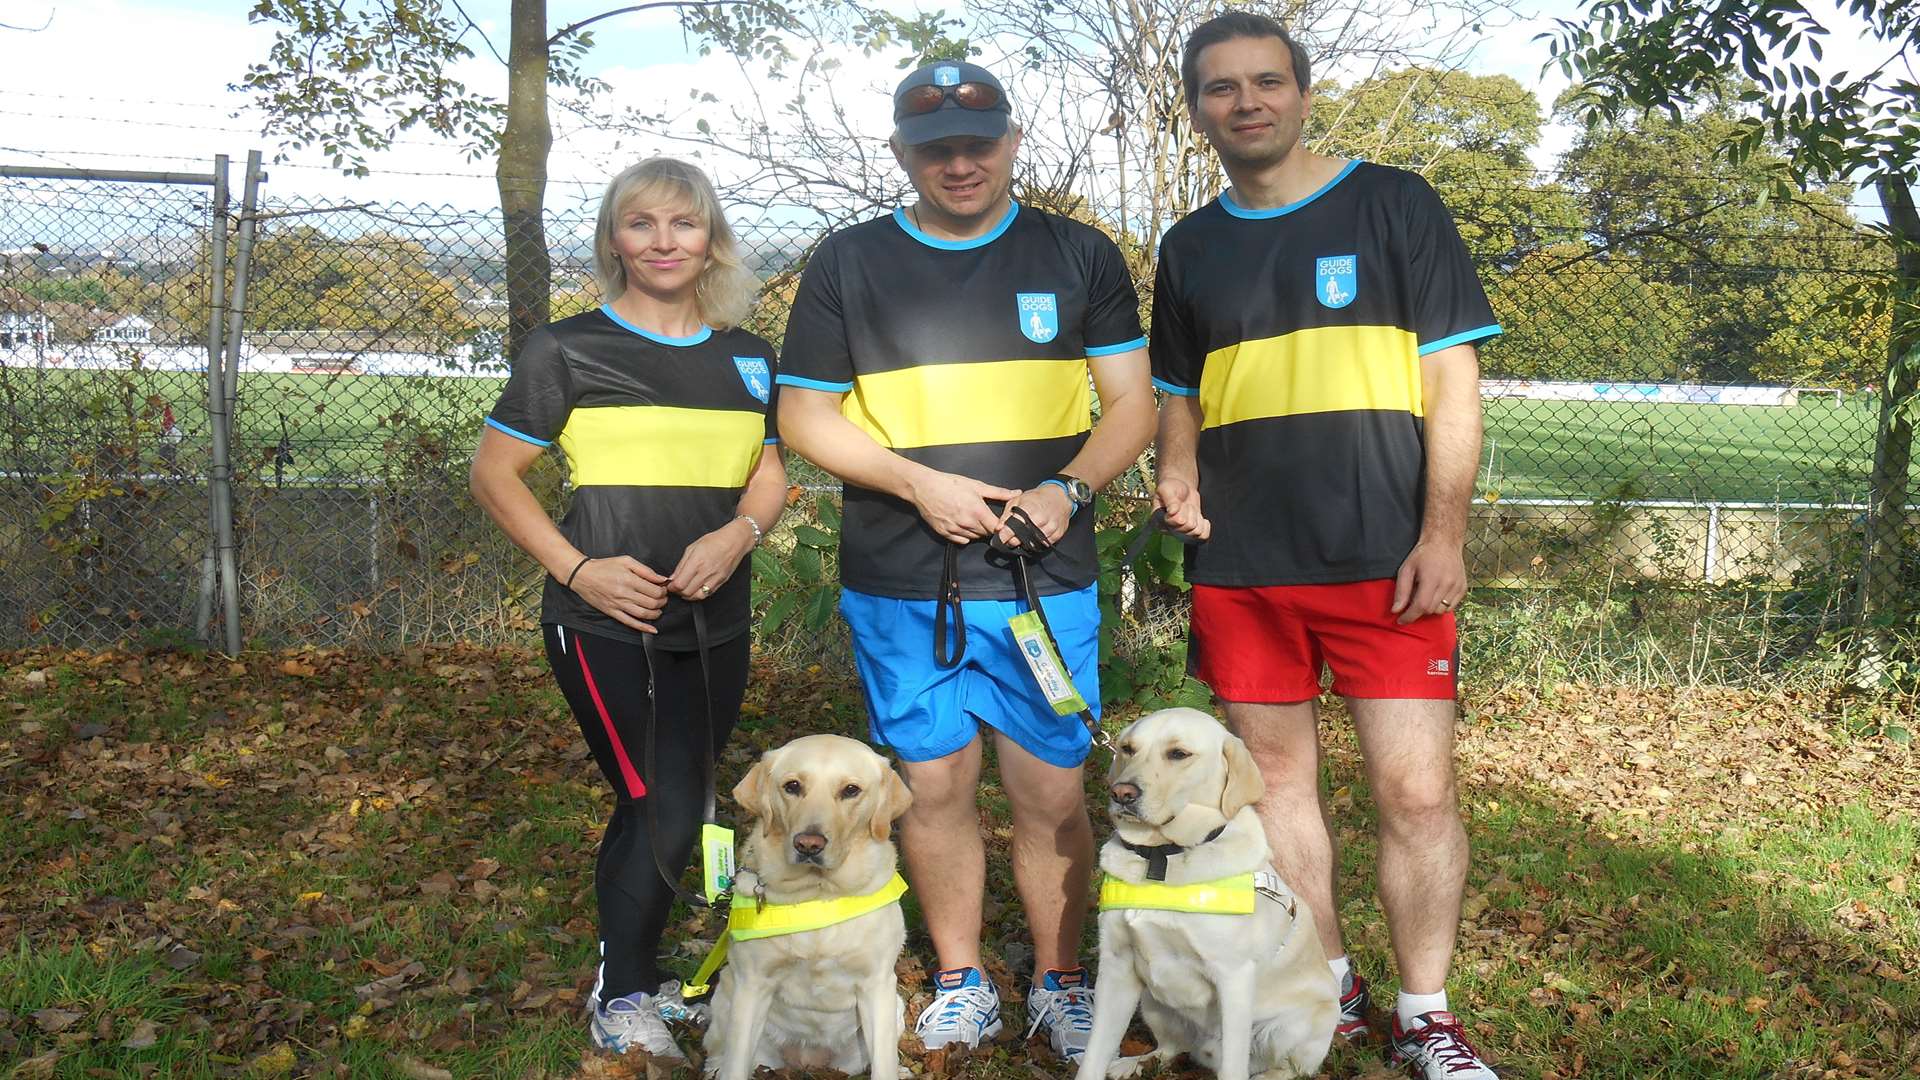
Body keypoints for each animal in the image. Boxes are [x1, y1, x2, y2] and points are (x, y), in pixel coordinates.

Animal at [706, 730, 913, 1076]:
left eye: (851, 790)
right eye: (792, 786)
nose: (808, 844)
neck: (818, 894)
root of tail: (806, 1061)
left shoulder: (876, 984)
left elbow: (885, 1066)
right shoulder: (752, 985)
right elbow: (735, 1066)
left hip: (892, 1008)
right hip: (725, 999)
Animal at [1082, 707, 1336, 1076]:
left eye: (1178, 754)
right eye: (1128, 749)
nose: (1122, 793)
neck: (1162, 857)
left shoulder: (1232, 976)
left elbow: (1233, 1066)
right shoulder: (1117, 968)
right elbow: (1094, 1054)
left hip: (1291, 1027)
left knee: (1285, 1068)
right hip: (1152, 1003)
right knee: (1171, 1048)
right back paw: (1133, 1062)